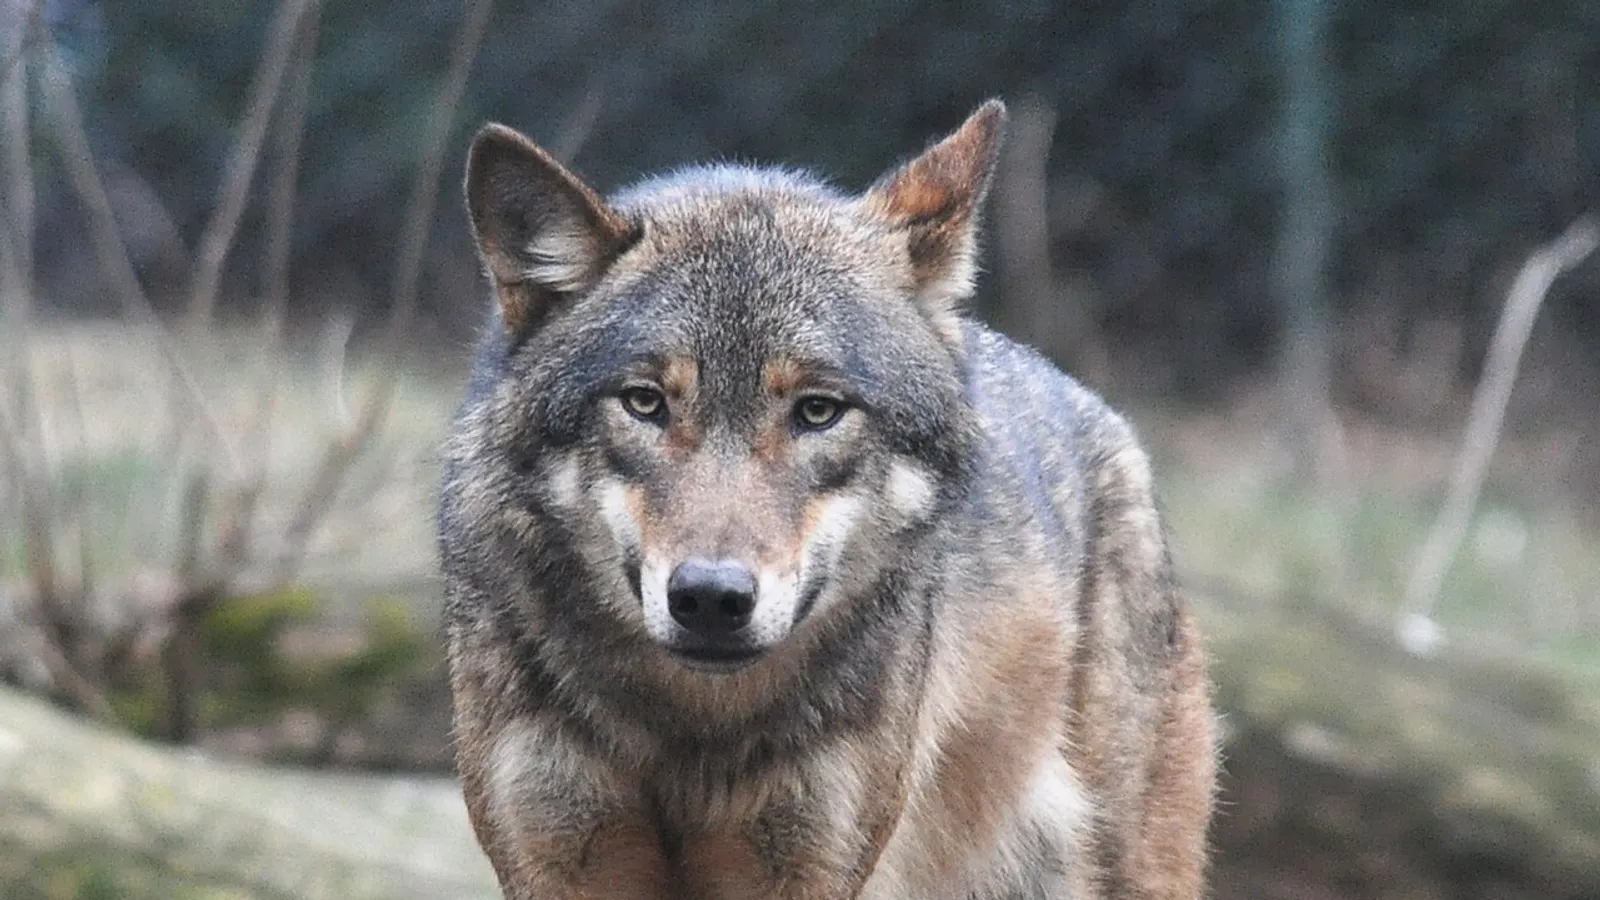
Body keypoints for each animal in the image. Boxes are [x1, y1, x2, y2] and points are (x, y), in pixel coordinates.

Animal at [439, 99, 1217, 899]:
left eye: (817, 411)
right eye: (645, 403)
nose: (711, 598)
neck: (693, 728)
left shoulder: (812, 867)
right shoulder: (554, 859)